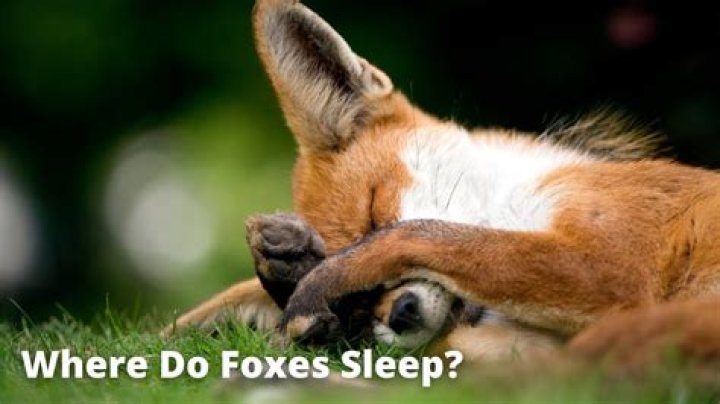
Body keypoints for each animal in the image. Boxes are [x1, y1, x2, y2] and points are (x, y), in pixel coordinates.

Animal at [166, 0, 720, 368]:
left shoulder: (612, 264)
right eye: (362, 307)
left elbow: (424, 234)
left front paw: (316, 277)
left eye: (375, 212)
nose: (401, 314)